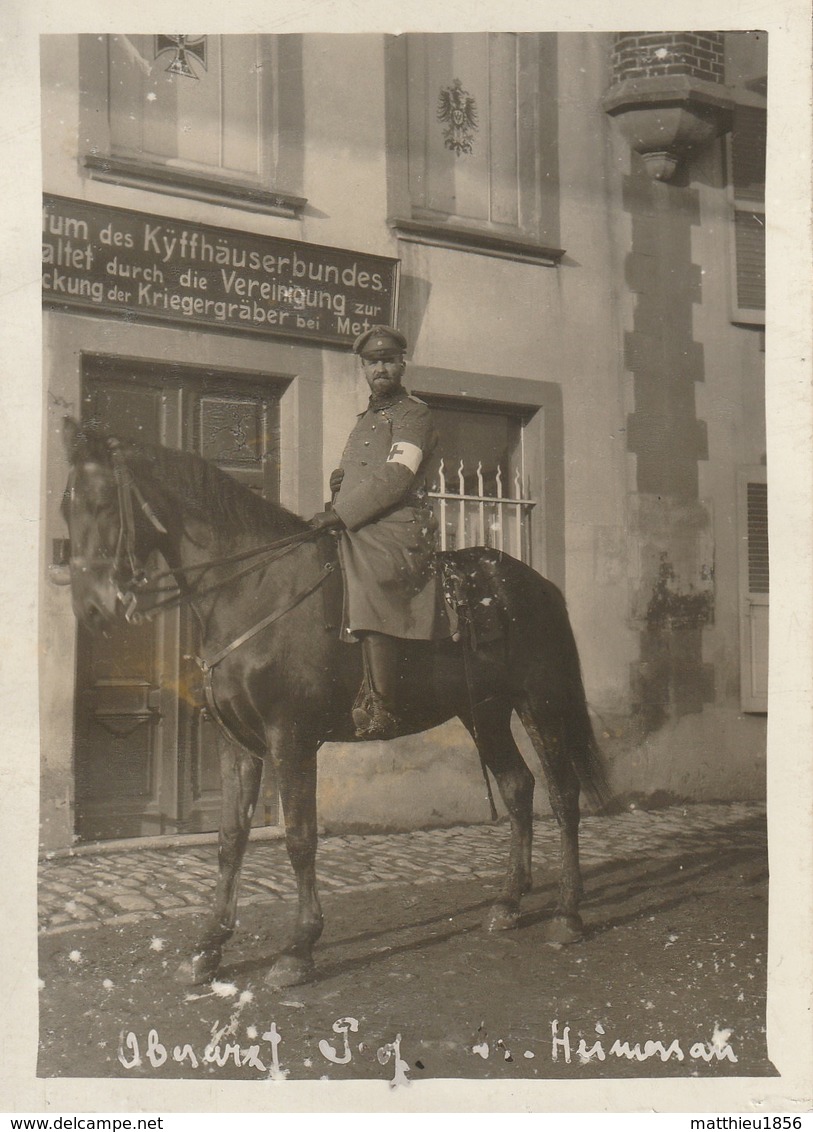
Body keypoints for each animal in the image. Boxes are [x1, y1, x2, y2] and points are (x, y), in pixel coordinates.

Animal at [60, 421, 606, 987]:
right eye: (63, 507)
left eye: (102, 502)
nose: (92, 608)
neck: (254, 589)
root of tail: (537, 584)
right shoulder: (238, 744)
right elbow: (230, 839)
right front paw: (209, 946)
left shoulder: (291, 740)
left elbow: (300, 838)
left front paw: (298, 947)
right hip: (485, 712)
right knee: (519, 789)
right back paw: (507, 902)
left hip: (540, 703)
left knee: (564, 796)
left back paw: (567, 913)